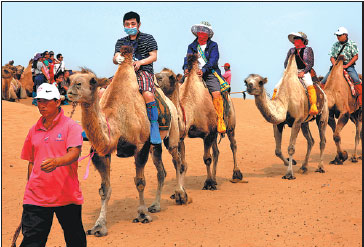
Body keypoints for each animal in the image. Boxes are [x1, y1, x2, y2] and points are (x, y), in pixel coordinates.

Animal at [67, 45, 185, 236]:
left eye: (92, 81)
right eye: (70, 79)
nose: (71, 89)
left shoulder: (141, 146)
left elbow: (140, 182)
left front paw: (142, 215)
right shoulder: (101, 151)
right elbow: (104, 189)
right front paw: (99, 226)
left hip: (172, 133)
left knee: (178, 161)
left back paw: (181, 194)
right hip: (155, 146)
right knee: (161, 171)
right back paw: (156, 205)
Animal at [155, 54, 243, 190]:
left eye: (171, 77)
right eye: (158, 73)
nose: (156, 77)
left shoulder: (208, 134)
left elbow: (207, 158)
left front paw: (208, 183)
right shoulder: (181, 136)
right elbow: (182, 164)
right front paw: (181, 190)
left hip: (231, 124)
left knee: (233, 145)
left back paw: (236, 174)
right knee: (216, 152)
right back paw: (215, 179)